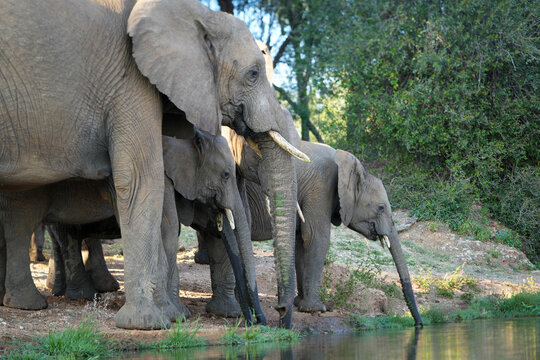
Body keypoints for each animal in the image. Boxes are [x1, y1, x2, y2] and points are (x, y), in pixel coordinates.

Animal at [1, 0, 308, 330]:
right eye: (253, 73)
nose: (275, 315)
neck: (197, 13)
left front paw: (173, 315)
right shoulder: (129, 82)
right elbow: (143, 181)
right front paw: (151, 322)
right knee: (27, 225)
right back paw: (40, 303)